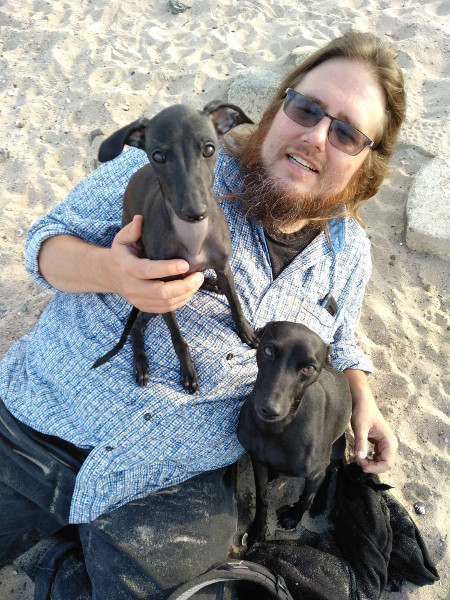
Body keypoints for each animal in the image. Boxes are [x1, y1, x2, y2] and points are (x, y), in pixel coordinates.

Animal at [92, 101, 258, 392]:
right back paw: (140, 362)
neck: (193, 236)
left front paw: (246, 331)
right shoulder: (163, 292)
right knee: (137, 325)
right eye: (158, 156)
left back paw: (208, 282)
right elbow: (178, 339)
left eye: (209, 149)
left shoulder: (224, 266)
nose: (195, 212)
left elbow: (236, 305)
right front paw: (187, 371)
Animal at [237, 321, 352, 545]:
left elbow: (306, 498)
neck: (276, 430)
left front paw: (293, 517)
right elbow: (262, 498)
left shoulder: (315, 473)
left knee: (331, 472)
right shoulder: (258, 460)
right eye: (268, 350)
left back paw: (320, 502)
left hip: (335, 451)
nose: (270, 410)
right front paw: (258, 528)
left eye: (309, 368)